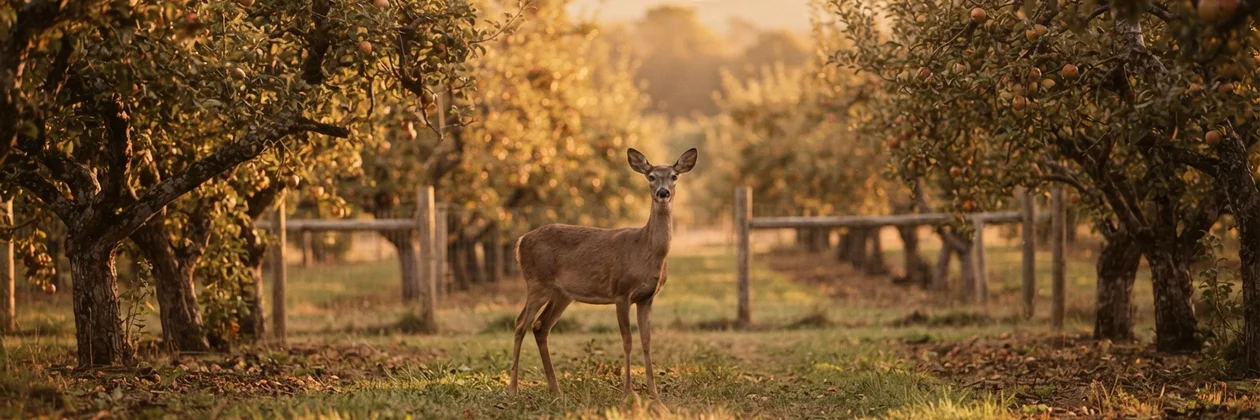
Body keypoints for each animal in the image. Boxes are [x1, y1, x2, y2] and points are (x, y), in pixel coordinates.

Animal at [508, 147, 698, 396]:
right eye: (651, 176)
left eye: (674, 176)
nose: (663, 192)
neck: (646, 250)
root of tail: (521, 241)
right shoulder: (621, 291)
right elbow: (627, 341)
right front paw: (628, 392)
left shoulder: (647, 297)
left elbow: (646, 341)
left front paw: (654, 393)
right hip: (537, 281)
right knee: (520, 323)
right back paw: (513, 389)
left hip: (562, 293)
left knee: (540, 326)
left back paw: (556, 390)